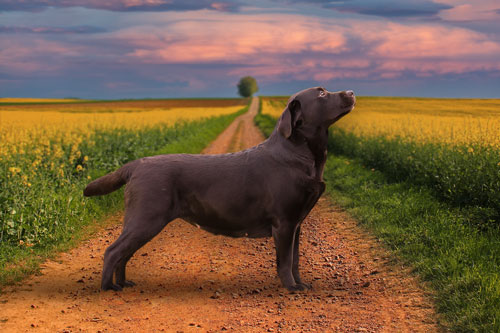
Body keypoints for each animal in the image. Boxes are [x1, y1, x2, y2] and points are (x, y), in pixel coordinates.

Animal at [83, 87, 356, 290]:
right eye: (321, 93)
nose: (351, 92)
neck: (300, 154)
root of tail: (136, 163)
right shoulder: (285, 223)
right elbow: (286, 261)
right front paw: (291, 288)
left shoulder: (297, 224)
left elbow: (296, 260)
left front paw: (301, 284)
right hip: (146, 218)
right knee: (113, 251)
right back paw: (108, 288)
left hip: (143, 222)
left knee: (124, 253)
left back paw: (123, 283)